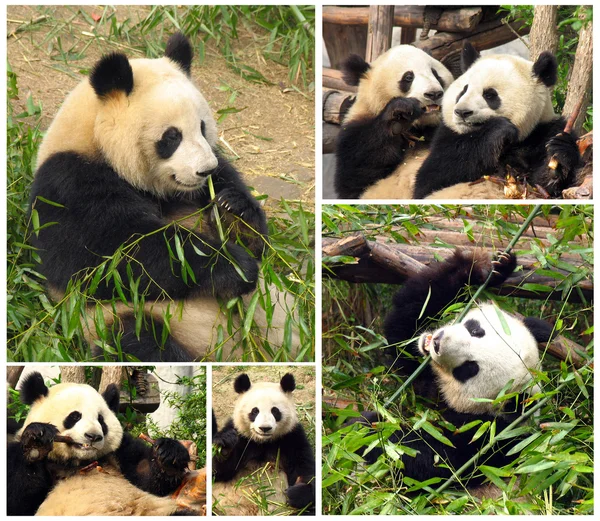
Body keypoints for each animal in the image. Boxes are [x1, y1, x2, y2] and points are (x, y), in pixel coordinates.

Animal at [7, 372, 195, 512]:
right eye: (74, 417)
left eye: (101, 420)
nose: (93, 436)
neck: (78, 461)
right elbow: (17, 500)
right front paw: (37, 442)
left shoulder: (119, 450)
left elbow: (147, 478)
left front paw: (169, 454)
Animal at [28, 30, 298, 360]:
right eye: (172, 136)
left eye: (202, 127)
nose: (205, 170)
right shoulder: (68, 184)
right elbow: (114, 255)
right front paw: (235, 266)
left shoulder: (213, 176)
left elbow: (252, 231)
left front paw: (233, 210)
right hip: (118, 321)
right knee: (137, 341)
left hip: (278, 315)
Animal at [332, 45, 454, 199]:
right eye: (408, 77)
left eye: (435, 73)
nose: (434, 93)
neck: (421, 127)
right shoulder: (356, 127)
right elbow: (353, 178)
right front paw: (399, 116)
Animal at [352, 250, 552, 486]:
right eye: (475, 330)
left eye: (469, 369)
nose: (438, 341)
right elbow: (406, 323)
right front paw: (492, 269)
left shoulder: (489, 440)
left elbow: (428, 460)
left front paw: (370, 425)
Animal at [412, 41, 580, 197]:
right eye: (463, 91)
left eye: (490, 95)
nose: (462, 112)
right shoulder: (447, 134)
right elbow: (432, 176)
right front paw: (499, 129)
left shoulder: (544, 131)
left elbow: (545, 187)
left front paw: (558, 158)